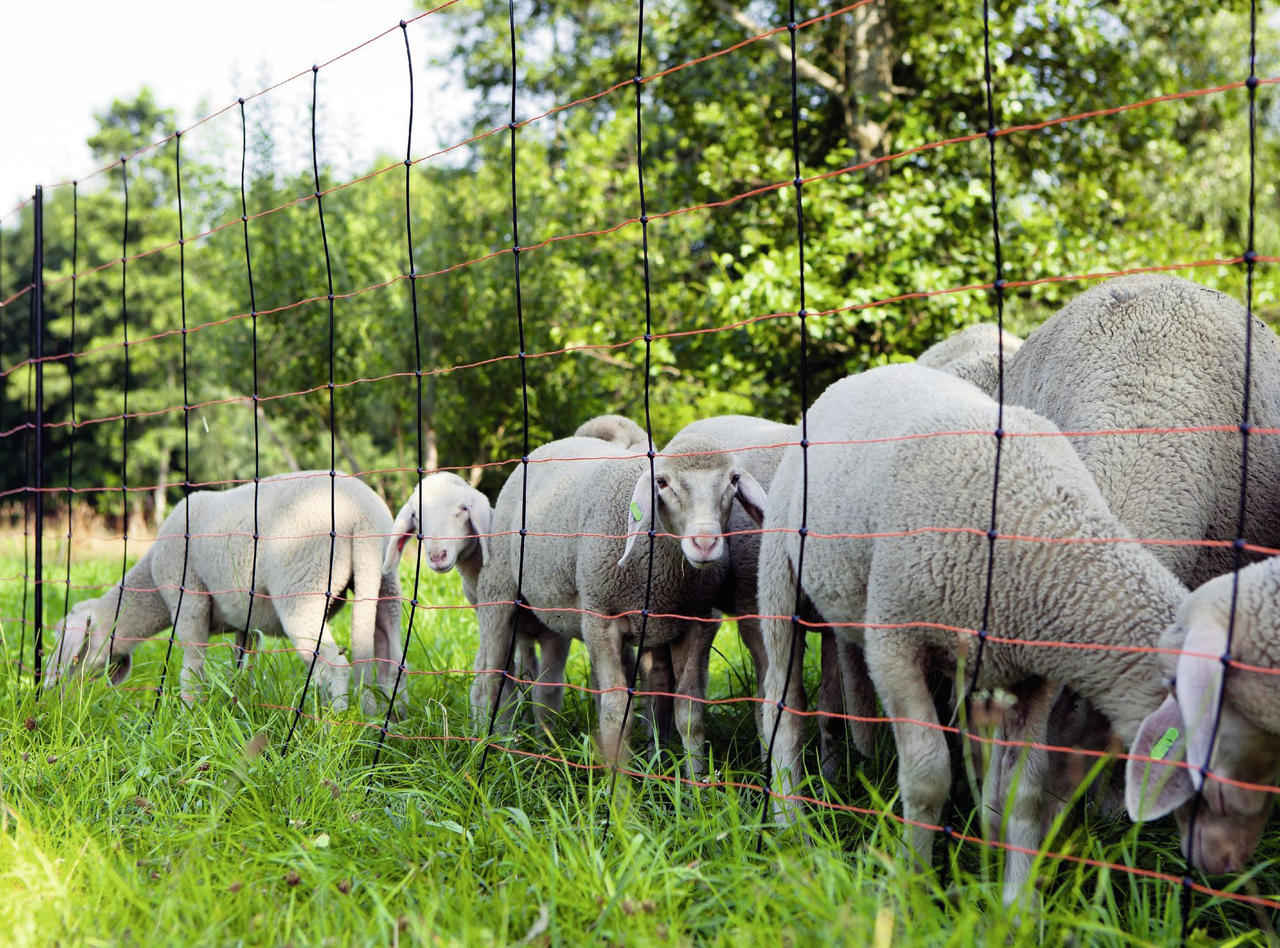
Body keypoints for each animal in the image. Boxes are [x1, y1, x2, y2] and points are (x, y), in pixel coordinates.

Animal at [46, 470, 404, 711]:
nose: (55, 698)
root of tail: (362, 515)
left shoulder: (188, 600)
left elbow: (192, 667)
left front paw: (189, 715)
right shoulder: (247, 622)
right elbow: (243, 666)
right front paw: (238, 703)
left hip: (303, 585)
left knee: (334, 664)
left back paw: (333, 726)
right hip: (385, 582)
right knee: (392, 659)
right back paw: (388, 720)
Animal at [473, 429, 762, 777]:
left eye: (734, 479)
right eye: (661, 482)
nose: (704, 543)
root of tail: (555, 443)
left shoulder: (698, 622)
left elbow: (690, 711)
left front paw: (696, 783)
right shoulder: (601, 619)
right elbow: (616, 711)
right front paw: (618, 786)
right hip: (499, 590)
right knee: (490, 679)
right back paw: (492, 750)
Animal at [757, 363, 1187, 900]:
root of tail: (863, 374)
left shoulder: (1033, 675)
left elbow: (1024, 793)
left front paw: (1017, 904)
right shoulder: (894, 639)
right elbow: (927, 777)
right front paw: (914, 890)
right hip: (779, 576)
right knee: (781, 701)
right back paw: (788, 822)